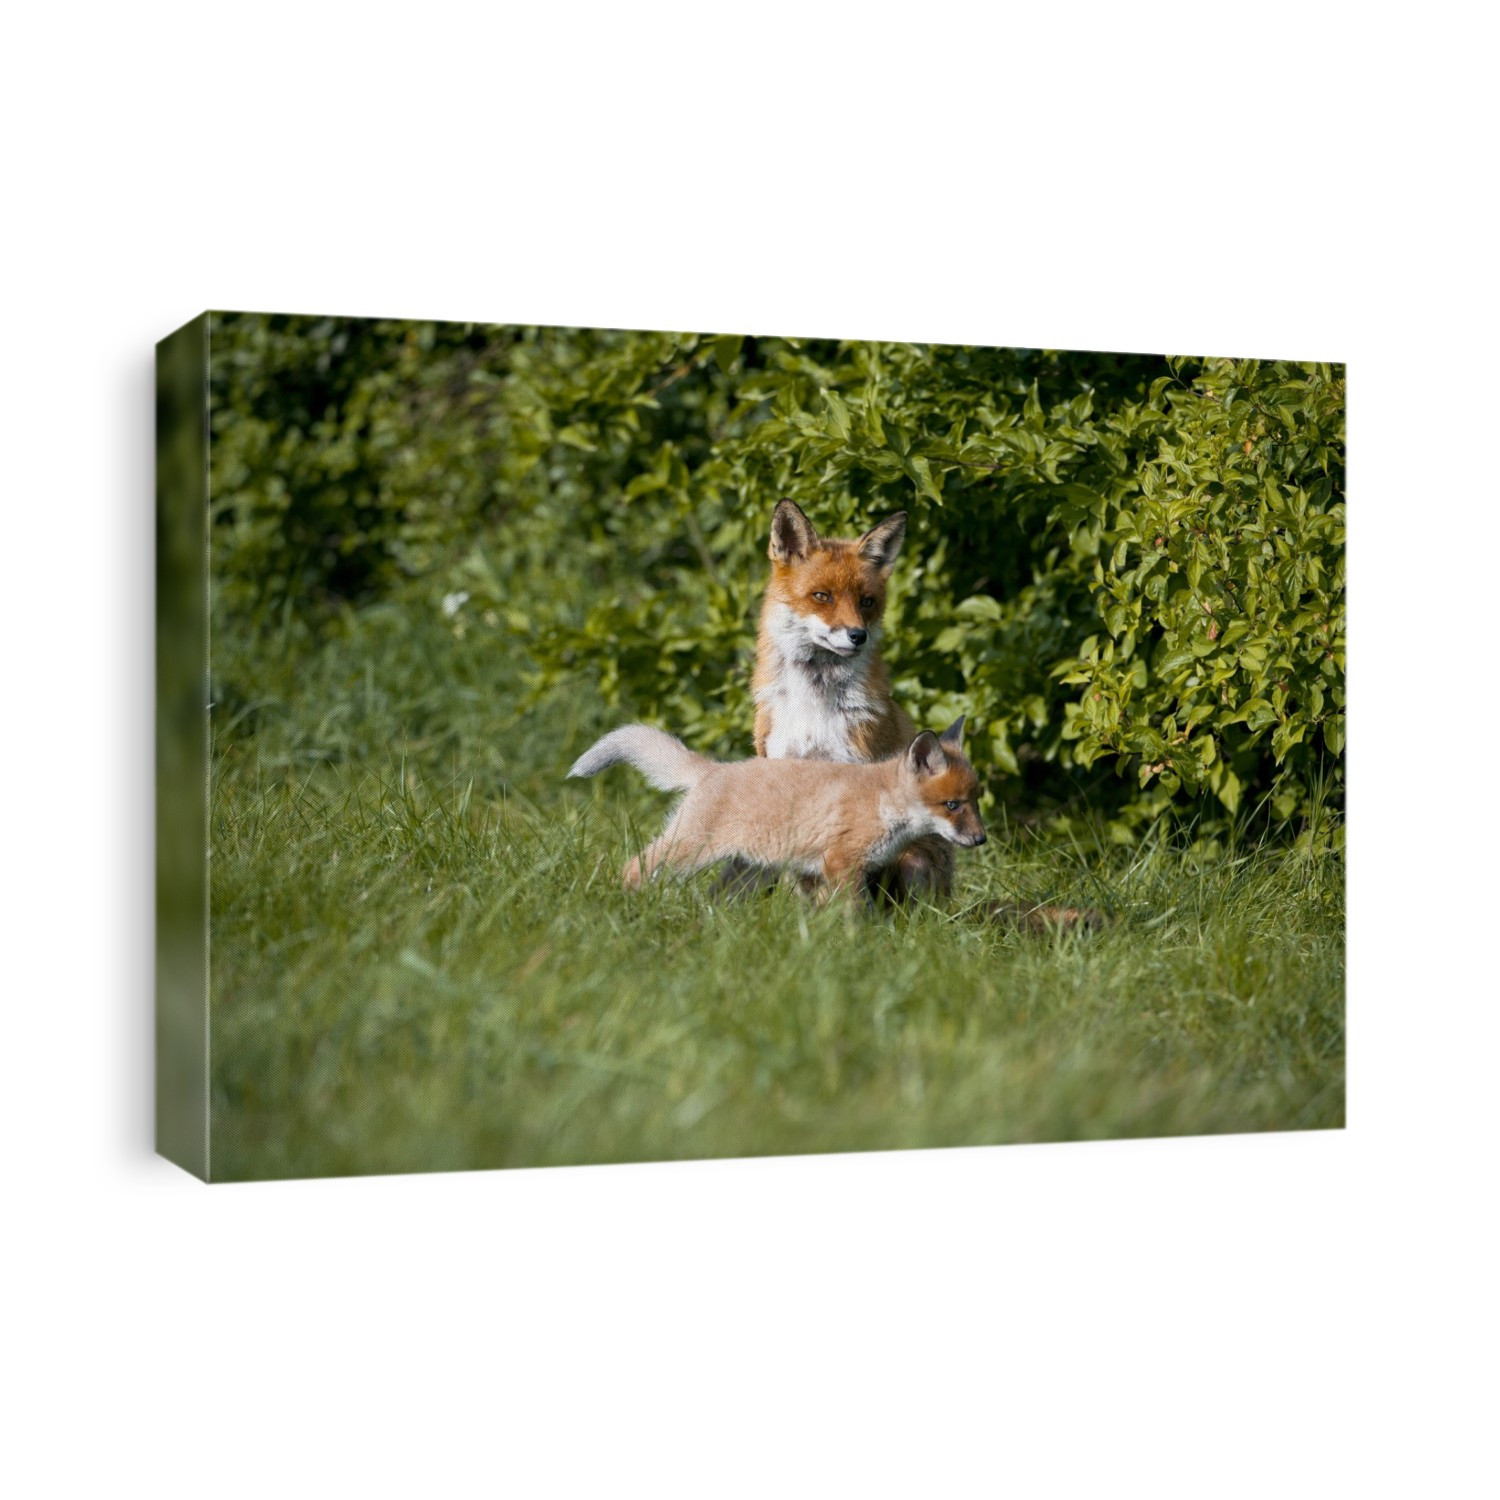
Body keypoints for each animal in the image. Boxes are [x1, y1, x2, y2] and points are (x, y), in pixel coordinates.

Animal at [568, 717, 985, 897]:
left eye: (975, 801)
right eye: (952, 805)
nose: (981, 839)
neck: (883, 804)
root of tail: (714, 768)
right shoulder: (840, 865)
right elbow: (855, 917)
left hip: (746, 871)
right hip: (689, 851)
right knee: (634, 868)